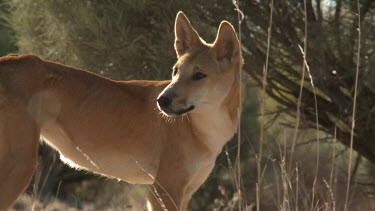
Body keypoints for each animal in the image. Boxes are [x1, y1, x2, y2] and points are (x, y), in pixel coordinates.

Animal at [0, 11, 241, 211]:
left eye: (199, 75)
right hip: (20, 165)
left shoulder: (184, 193)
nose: (161, 100)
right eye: (175, 71)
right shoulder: (164, 191)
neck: (202, 129)